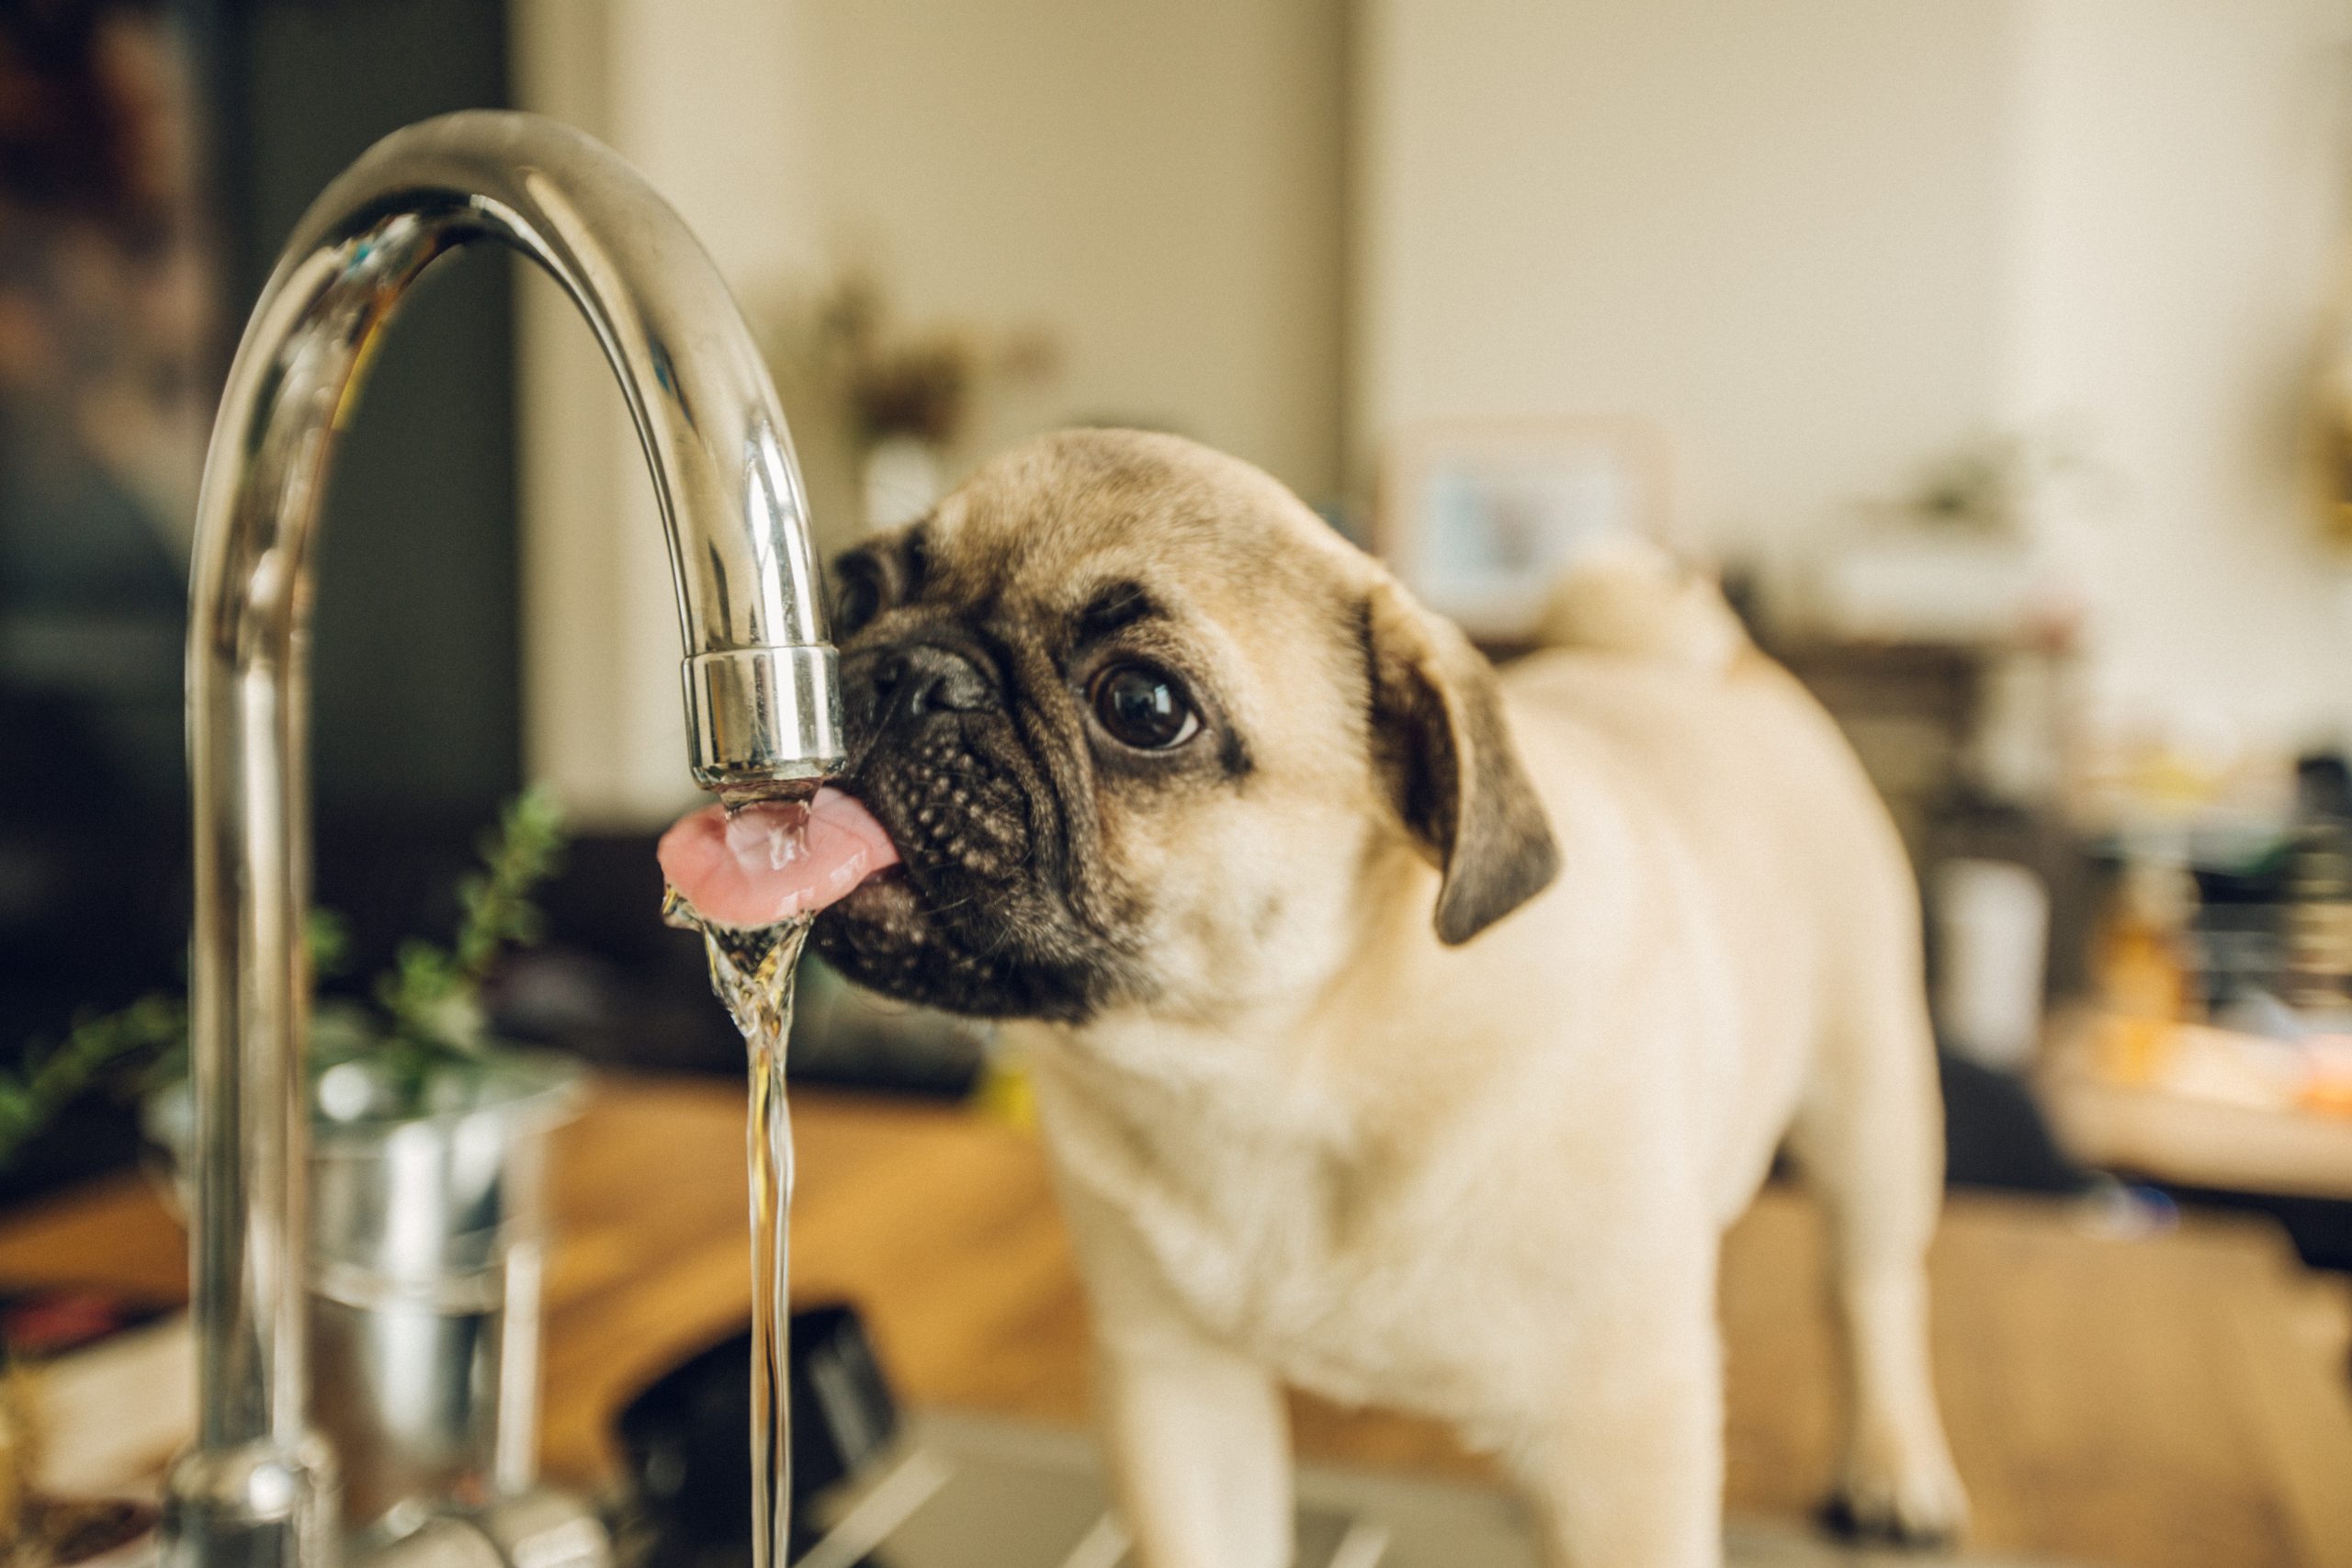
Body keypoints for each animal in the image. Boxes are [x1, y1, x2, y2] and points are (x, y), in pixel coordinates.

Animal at [662, 430, 1966, 1568]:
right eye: (847, 594)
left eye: (1142, 706)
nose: (902, 668)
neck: (1273, 1062)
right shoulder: (1179, 1390)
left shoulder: (1622, 1435)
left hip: (1871, 1106)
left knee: (1871, 1287)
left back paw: (1896, 1468)